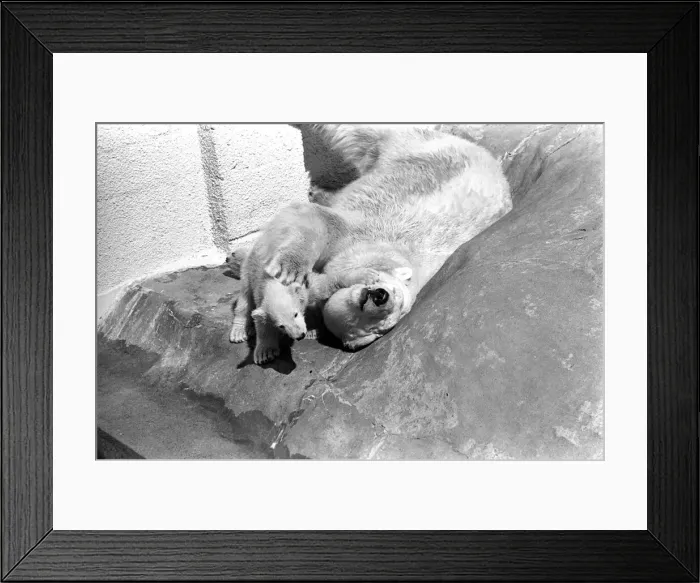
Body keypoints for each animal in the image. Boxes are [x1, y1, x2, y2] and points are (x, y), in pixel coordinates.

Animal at [244, 124, 512, 350]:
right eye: (390, 286)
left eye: (380, 324)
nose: (380, 296)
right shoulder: (369, 229)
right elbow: (321, 221)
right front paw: (289, 269)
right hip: (416, 148)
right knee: (362, 134)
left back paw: (319, 191)